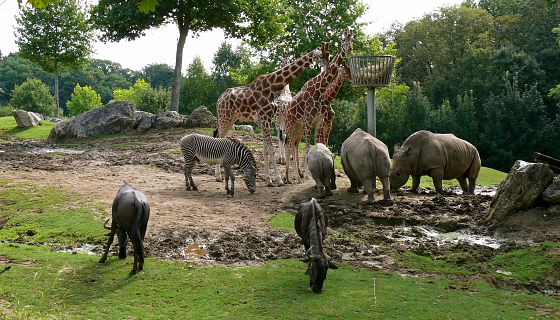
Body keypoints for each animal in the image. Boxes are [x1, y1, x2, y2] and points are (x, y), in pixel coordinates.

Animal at [214, 48, 324, 188]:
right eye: (319, 55)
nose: (323, 68)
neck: (273, 86)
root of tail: (219, 100)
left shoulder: (264, 120)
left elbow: (265, 149)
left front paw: (269, 180)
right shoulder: (265, 118)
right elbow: (271, 149)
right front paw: (279, 180)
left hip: (230, 118)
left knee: (219, 138)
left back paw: (219, 175)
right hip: (224, 117)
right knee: (218, 138)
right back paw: (218, 176)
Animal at [282, 31, 352, 185]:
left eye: (353, 39)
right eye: (344, 40)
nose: (350, 48)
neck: (320, 90)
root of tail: (286, 110)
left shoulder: (321, 121)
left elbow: (319, 144)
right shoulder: (310, 121)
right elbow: (309, 147)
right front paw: (307, 176)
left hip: (298, 128)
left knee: (294, 145)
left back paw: (293, 176)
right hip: (290, 125)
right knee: (288, 145)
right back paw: (288, 177)